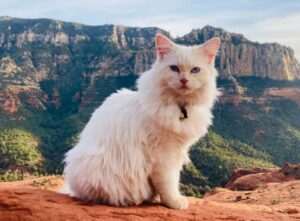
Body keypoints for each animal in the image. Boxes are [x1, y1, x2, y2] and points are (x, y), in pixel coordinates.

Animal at [62, 33, 220, 210]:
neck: (179, 107)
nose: (184, 80)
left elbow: (172, 180)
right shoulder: (164, 155)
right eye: (174, 68)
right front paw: (174, 201)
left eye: (195, 70)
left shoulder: (177, 151)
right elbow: (169, 182)